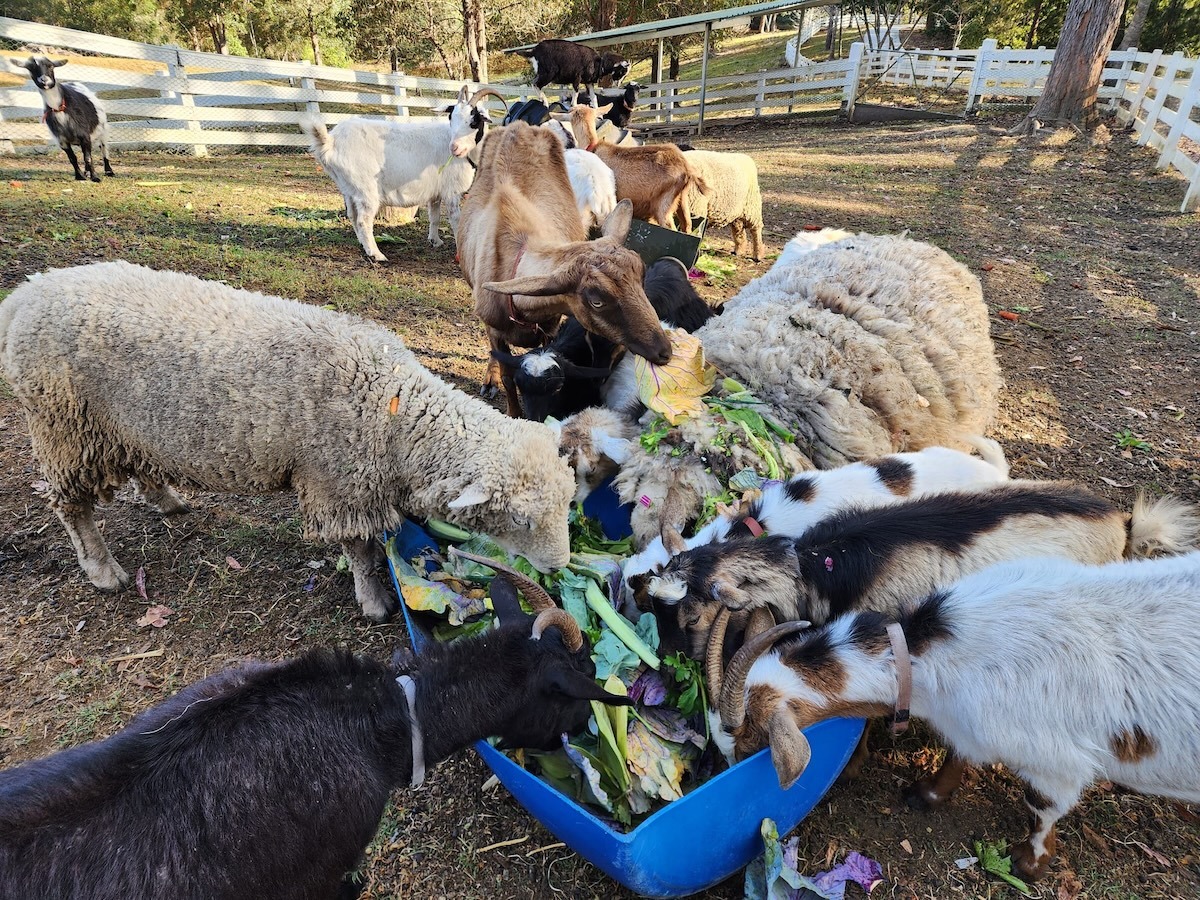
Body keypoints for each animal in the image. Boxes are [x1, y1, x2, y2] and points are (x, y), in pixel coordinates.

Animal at [300, 86, 506, 261]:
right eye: (451, 118)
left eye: (473, 120)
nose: (454, 148)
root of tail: (330, 143)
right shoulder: (452, 191)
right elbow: (456, 220)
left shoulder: (436, 192)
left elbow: (434, 216)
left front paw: (435, 241)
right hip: (366, 189)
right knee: (363, 221)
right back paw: (376, 254)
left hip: (348, 188)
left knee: (352, 215)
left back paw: (363, 245)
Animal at [456, 121, 670, 416]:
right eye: (596, 301)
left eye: (642, 277)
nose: (665, 351)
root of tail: (520, 125)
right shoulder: (495, 329)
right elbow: (507, 375)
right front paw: (512, 409)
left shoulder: (551, 328)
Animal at [716, 551, 1200, 881]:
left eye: (751, 744)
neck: (934, 650)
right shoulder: (967, 725)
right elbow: (958, 754)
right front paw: (927, 794)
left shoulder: (1055, 763)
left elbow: (1041, 806)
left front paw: (1029, 864)